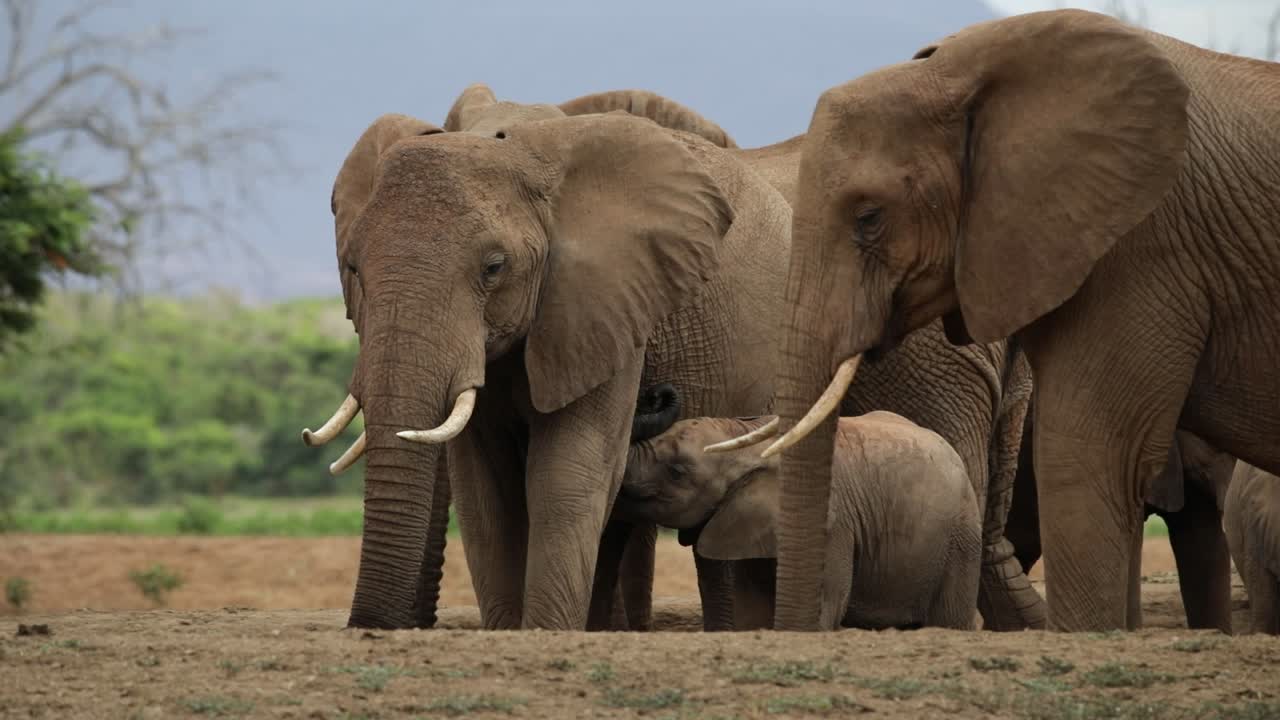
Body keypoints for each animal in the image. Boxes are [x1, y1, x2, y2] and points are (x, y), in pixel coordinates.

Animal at [305, 109, 791, 630]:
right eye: (353, 268)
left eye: (494, 268)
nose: (366, 626)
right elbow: (486, 495)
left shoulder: (605, 305)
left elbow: (566, 474)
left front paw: (543, 631)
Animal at [619, 407, 981, 631]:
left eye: (677, 471)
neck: (750, 443)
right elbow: (751, 612)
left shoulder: (833, 524)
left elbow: (817, 612)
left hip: (960, 540)